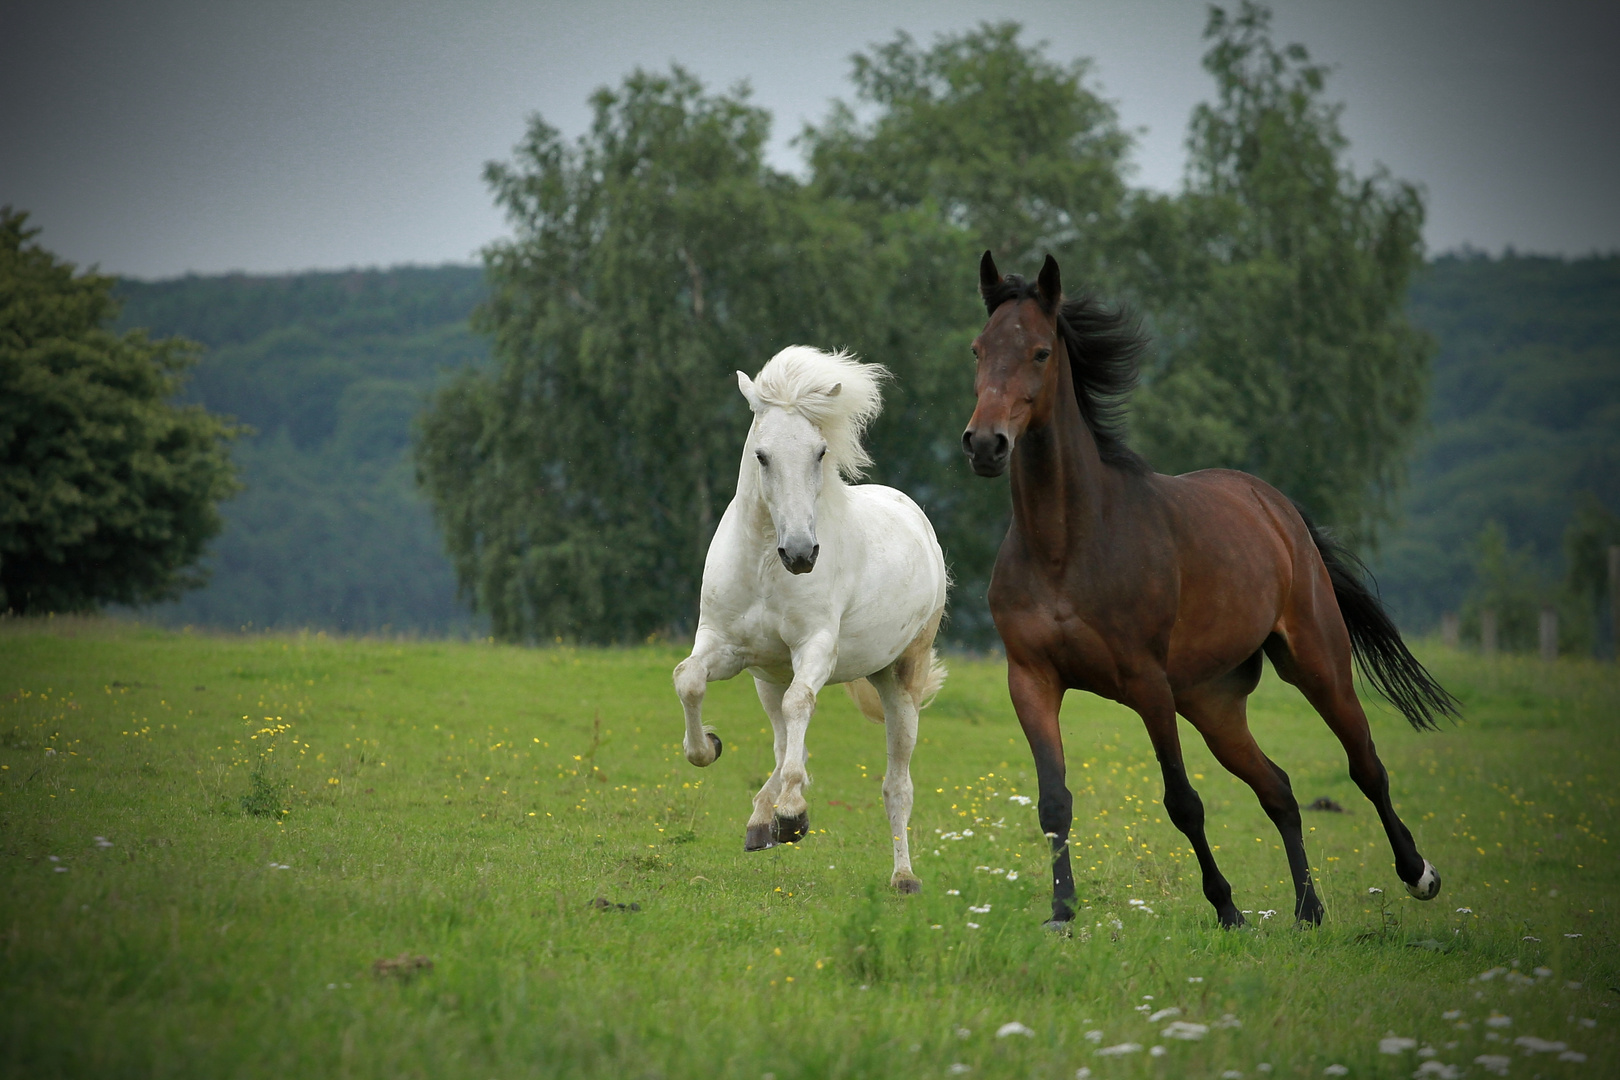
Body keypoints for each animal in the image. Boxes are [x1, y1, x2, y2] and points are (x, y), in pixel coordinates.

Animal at [673, 346, 946, 893]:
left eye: (820, 453)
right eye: (762, 455)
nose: (800, 554)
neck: (764, 561)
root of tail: (915, 514)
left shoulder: (815, 648)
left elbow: (803, 706)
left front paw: (795, 813)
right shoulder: (724, 646)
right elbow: (688, 678)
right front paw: (708, 747)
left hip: (900, 679)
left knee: (896, 785)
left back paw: (902, 876)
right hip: (767, 678)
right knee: (782, 743)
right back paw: (762, 821)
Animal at [959, 254, 1458, 932]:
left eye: (1039, 351)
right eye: (979, 349)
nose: (985, 445)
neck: (1065, 545)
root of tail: (1276, 509)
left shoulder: (1148, 684)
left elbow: (1183, 801)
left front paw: (1226, 907)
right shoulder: (1031, 680)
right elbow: (1054, 802)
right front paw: (1062, 913)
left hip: (1317, 666)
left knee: (1366, 766)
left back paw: (1416, 874)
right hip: (1214, 705)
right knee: (1278, 788)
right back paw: (1308, 911)